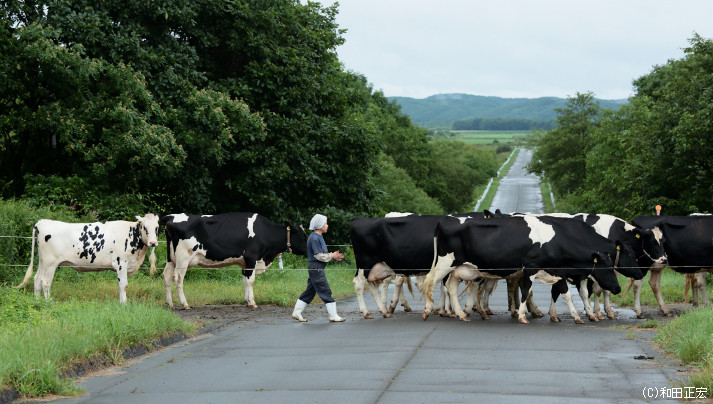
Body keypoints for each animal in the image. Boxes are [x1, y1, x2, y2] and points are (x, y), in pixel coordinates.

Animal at [15, 215, 161, 304]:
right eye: (145, 227)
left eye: (157, 228)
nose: (153, 243)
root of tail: (43, 221)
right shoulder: (120, 263)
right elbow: (123, 285)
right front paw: (124, 304)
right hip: (50, 262)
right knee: (45, 282)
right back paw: (49, 302)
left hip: (42, 261)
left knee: (37, 279)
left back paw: (37, 301)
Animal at [422, 216, 624, 324]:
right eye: (607, 267)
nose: (618, 288)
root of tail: (444, 220)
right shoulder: (531, 268)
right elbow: (526, 291)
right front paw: (521, 315)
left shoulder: (558, 271)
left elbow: (566, 295)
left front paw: (577, 316)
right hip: (445, 262)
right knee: (431, 283)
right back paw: (427, 311)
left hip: (460, 269)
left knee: (451, 287)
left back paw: (461, 314)